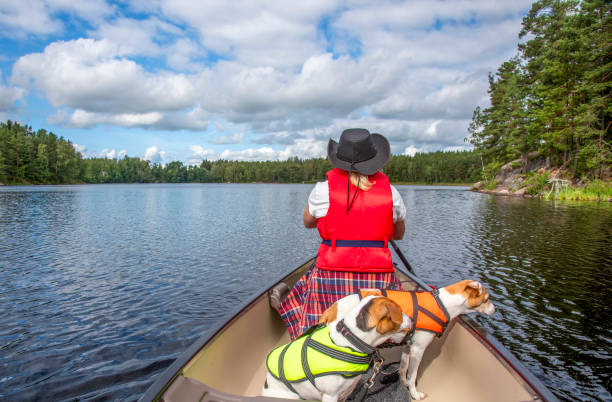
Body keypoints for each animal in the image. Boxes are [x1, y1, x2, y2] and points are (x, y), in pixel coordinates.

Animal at [322, 282, 494, 400]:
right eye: (487, 299)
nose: (496, 309)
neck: (442, 304)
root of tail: (331, 309)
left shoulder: (407, 346)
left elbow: (403, 369)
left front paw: (402, 384)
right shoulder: (418, 349)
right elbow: (413, 375)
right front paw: (414, 394)